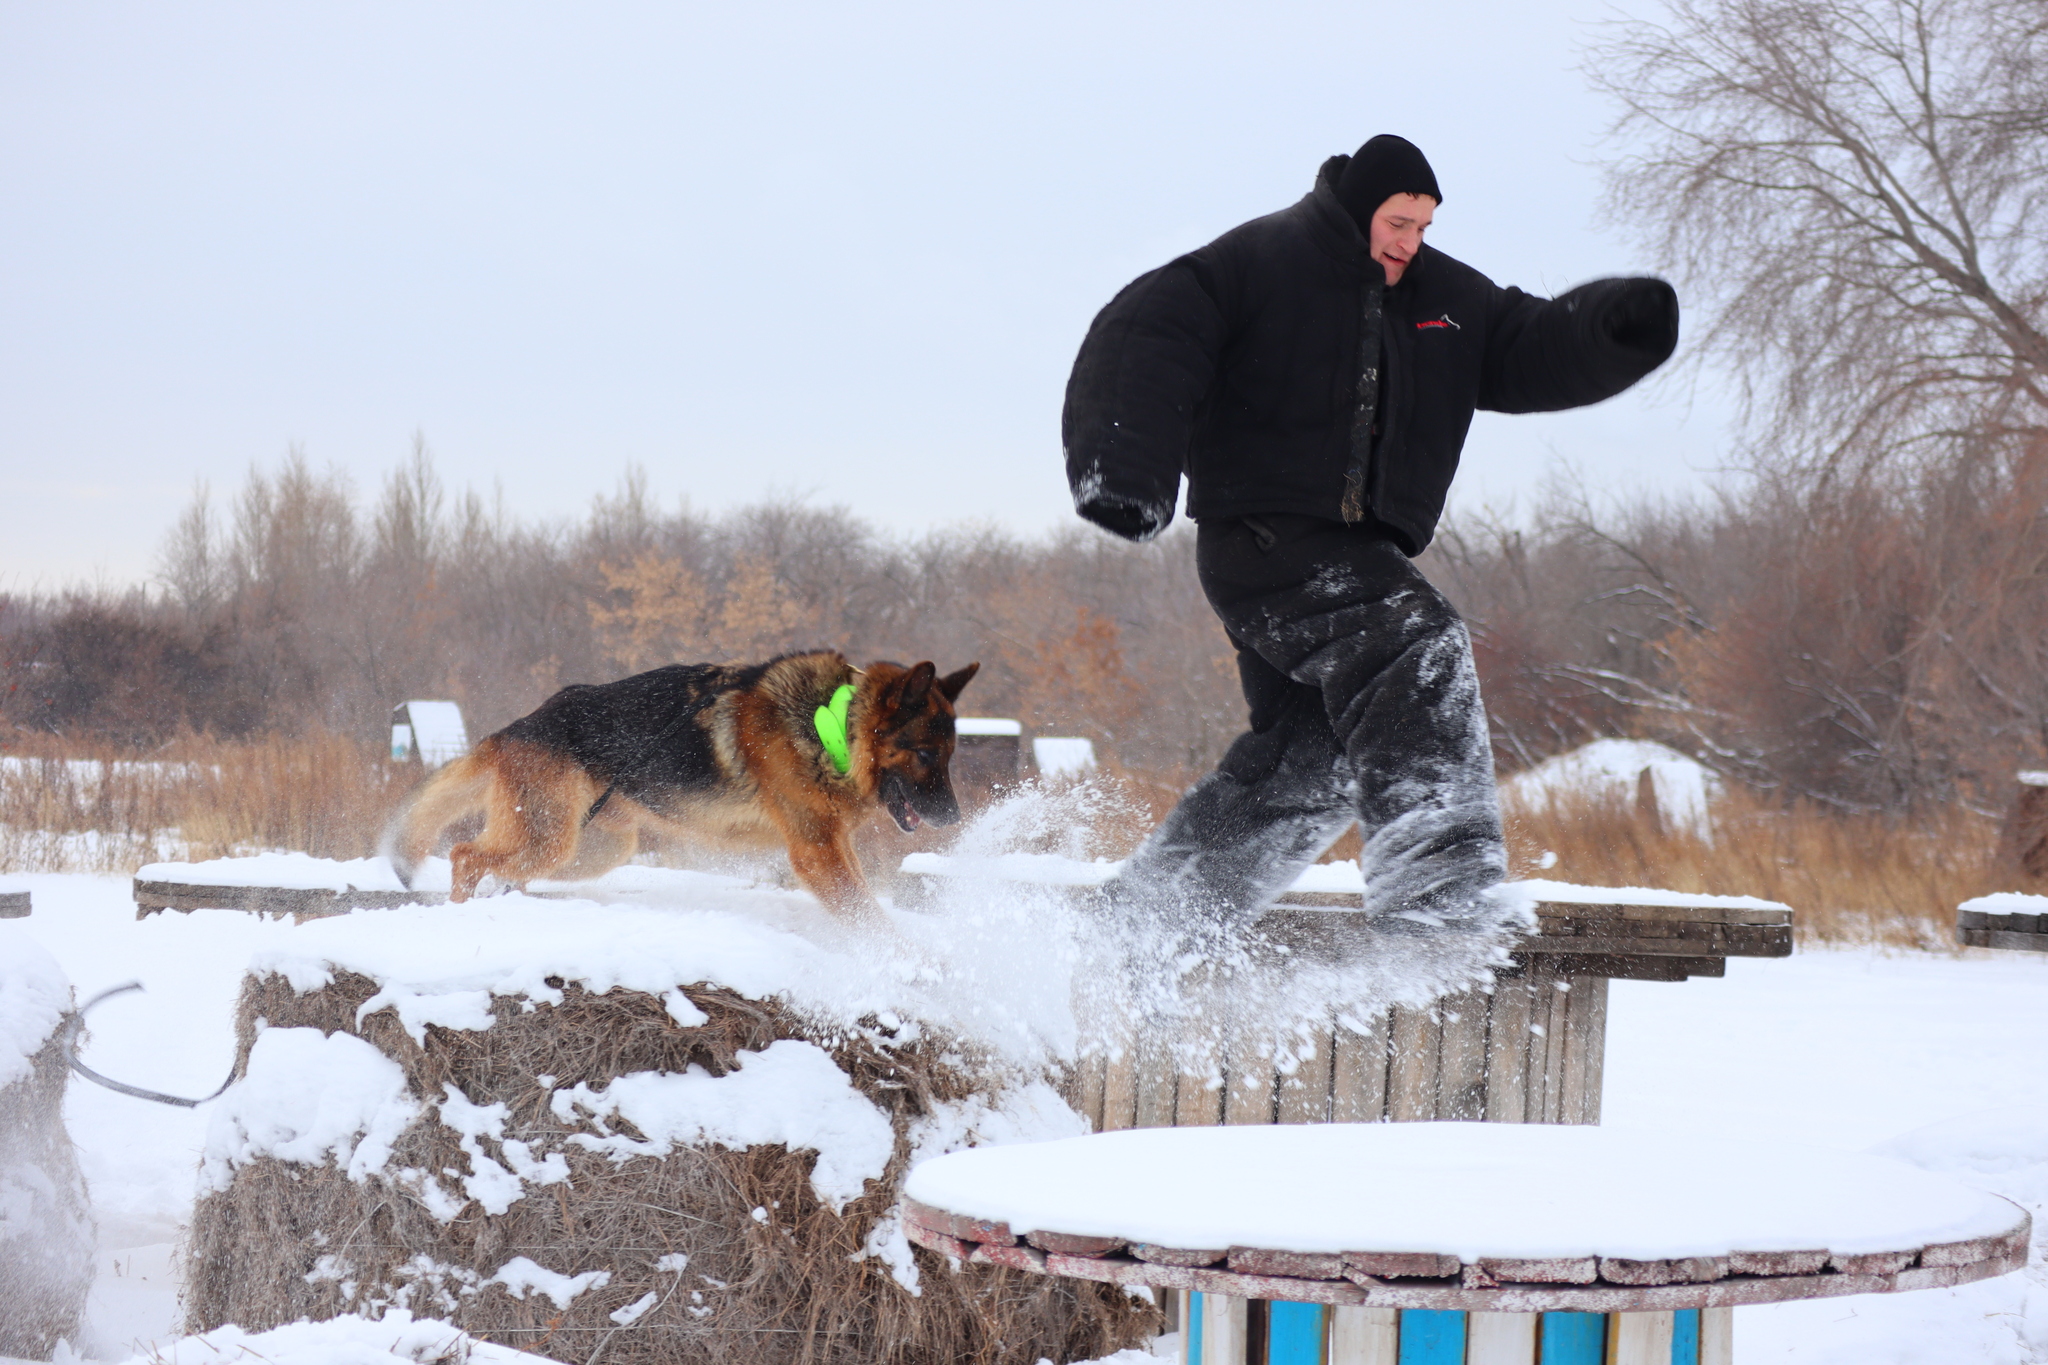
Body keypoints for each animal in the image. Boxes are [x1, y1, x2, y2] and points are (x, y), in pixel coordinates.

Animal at [391, 650, 983, 925]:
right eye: (926, 754)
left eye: (951, 755)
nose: (956, 820)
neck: (830, 724)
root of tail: (516, 727)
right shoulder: (818, 853)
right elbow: (870, 918)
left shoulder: (834, 847)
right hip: (552, 839)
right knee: (465, 855)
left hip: (593, 847)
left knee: (493, 864)